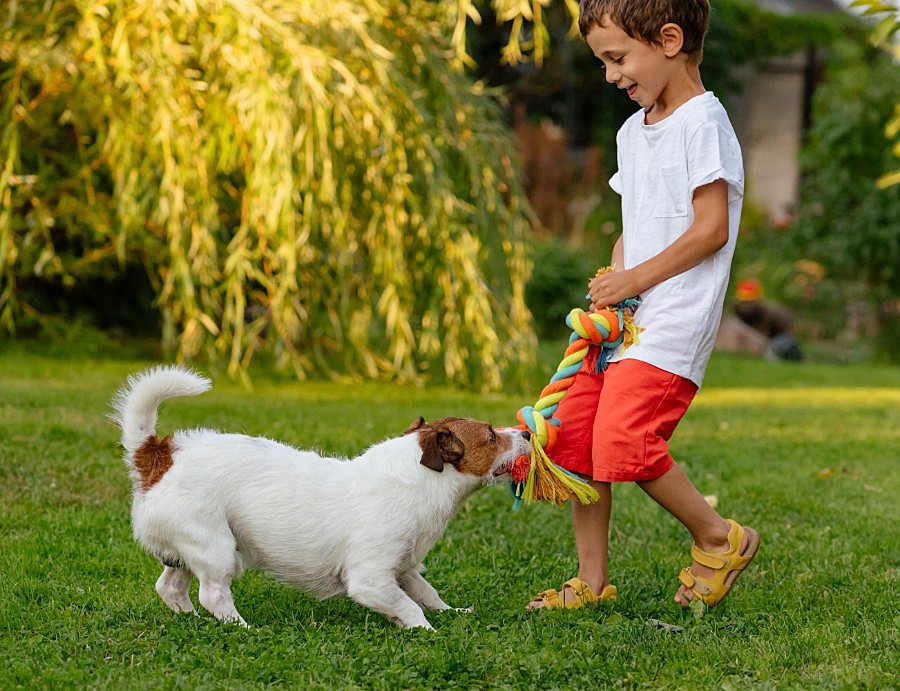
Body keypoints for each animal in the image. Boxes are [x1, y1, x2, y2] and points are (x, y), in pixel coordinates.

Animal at [112, 364, 536, 628]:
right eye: (491, 435)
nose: (527, 433)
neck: (419, 479)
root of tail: (157, 455)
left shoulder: (403, 568)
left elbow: (426, 594)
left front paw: (453, 612)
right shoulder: (371, 579)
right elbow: (410, 606)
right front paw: (426, 631)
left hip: (187, 551)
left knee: (170, 586)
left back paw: (191, 620)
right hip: (216, 548)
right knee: (214, 595)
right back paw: (242, 627)